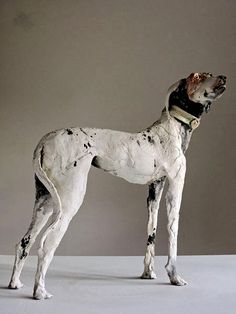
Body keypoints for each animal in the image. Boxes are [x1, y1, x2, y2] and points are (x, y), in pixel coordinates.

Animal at [8, 73, 227, 300]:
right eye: (198, 76)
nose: (223, 77)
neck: (172, 127)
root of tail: (44, 142)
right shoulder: (176, 185)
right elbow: (173, 231)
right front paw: (174, 276)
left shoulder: (154, 190)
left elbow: (151, 231)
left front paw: (148, 273)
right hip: (68, 202)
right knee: (46, 245)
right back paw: (40, 292)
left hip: (46, 202)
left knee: (24, 242)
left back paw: (15, 283)